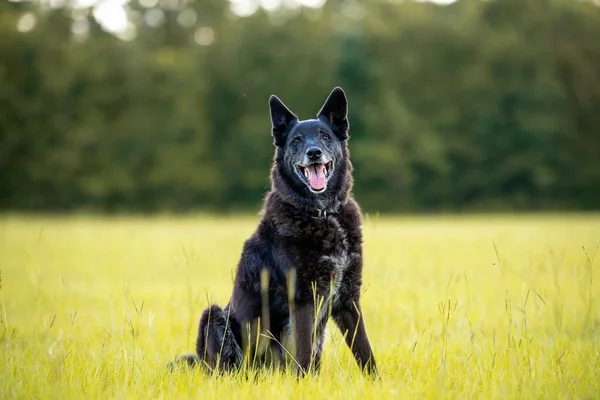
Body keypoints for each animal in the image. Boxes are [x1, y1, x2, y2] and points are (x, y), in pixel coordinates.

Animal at [170, 86, 376, 376]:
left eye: (325, 136)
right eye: (296, 141)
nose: (314, 152)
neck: (322, 214)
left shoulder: (348, 297)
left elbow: (365, 352)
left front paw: (378, 382)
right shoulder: (302, 297)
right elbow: (303, 352)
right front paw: (305, 384)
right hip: (213, 317)